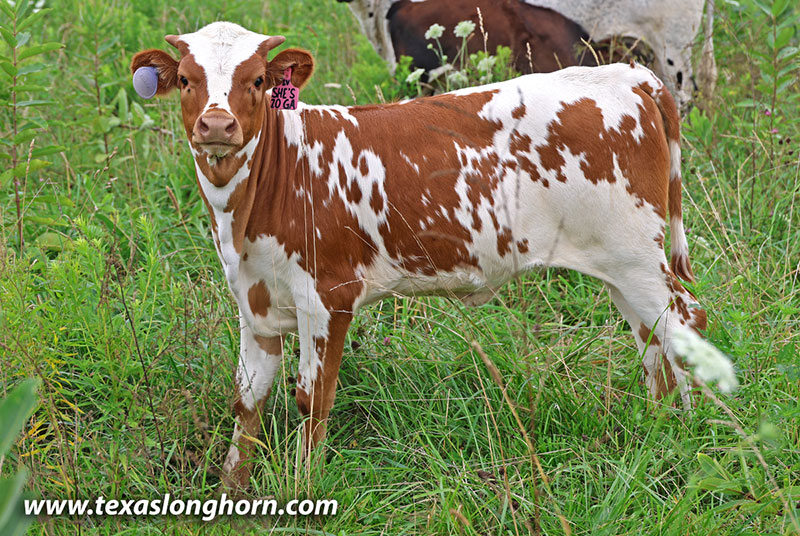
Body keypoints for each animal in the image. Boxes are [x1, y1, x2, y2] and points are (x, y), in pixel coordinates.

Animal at [131, 21, 708, 488]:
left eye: (255, 81)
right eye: (187, 81)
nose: (217, 126)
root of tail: (628, 74)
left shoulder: (328, 297)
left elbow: (312, 401)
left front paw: (300, 488)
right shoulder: (253, 301)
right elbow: (247, 401)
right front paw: (232, 488)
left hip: (638, 256)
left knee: (686, 322)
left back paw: (701, 433)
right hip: (617, 265)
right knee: (654, 342)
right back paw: (661, 428)